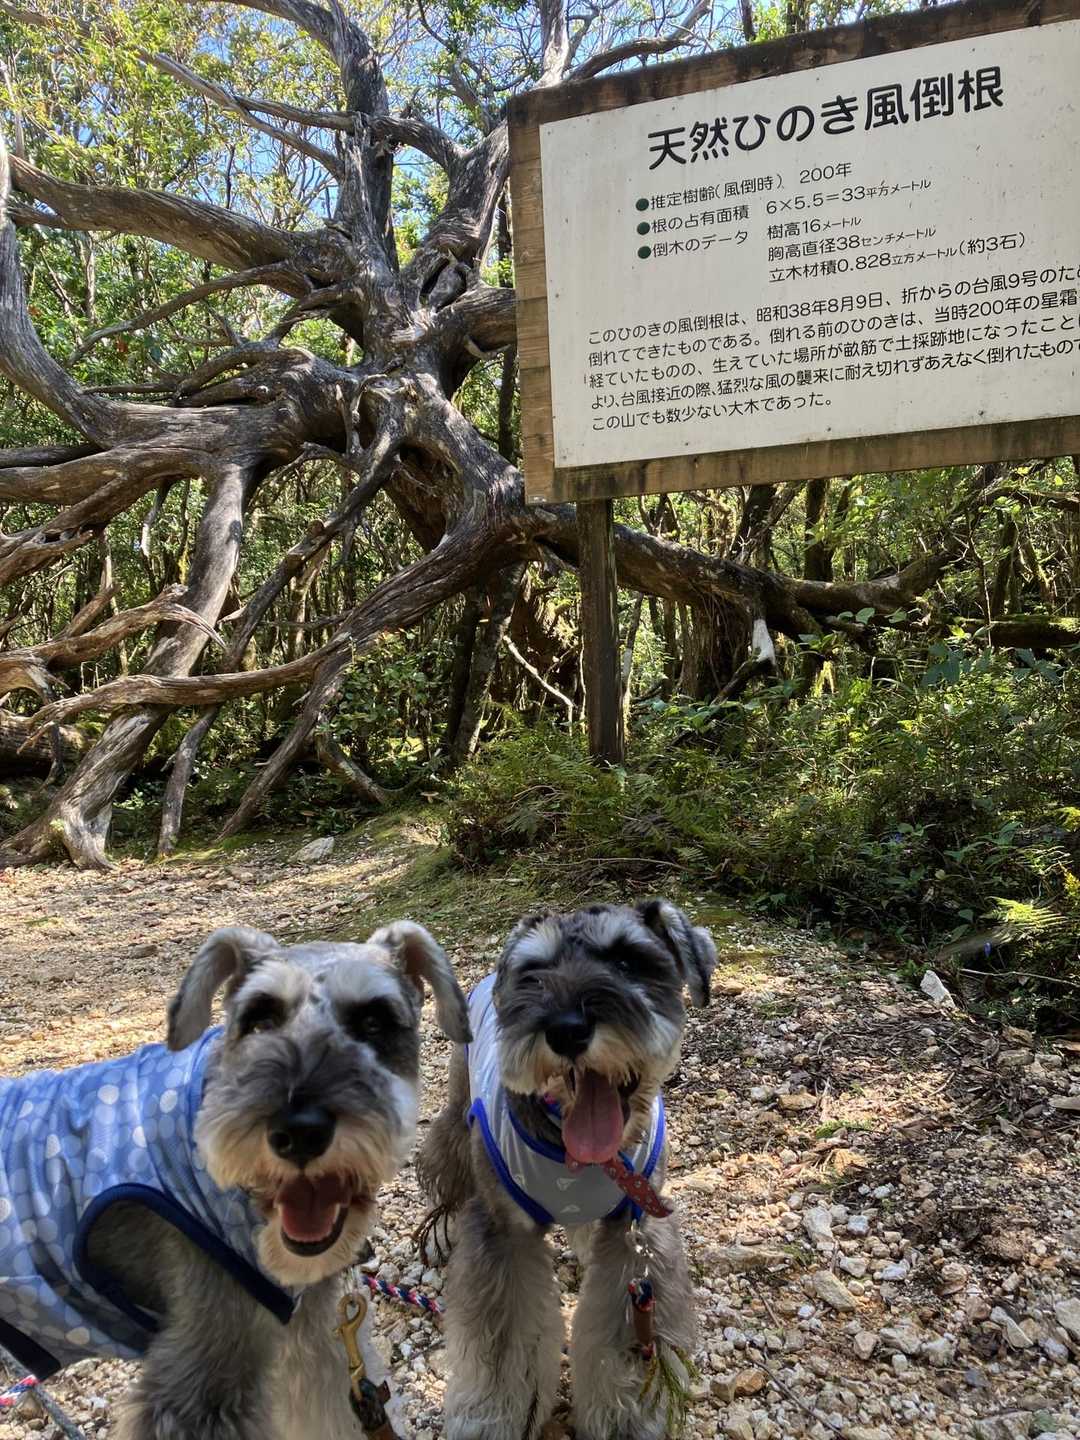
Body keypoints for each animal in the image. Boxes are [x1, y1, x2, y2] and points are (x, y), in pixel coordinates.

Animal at [417, 899, 716, 1440]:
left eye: (628, 961)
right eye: (533, 975)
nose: (565, 1029)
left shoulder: (635, 1232)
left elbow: (621, 1345)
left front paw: (628, 1421)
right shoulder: (505, 1236)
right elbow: (503, 1350)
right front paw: (496, 1419)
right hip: (458, 1102)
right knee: (446, 1155)